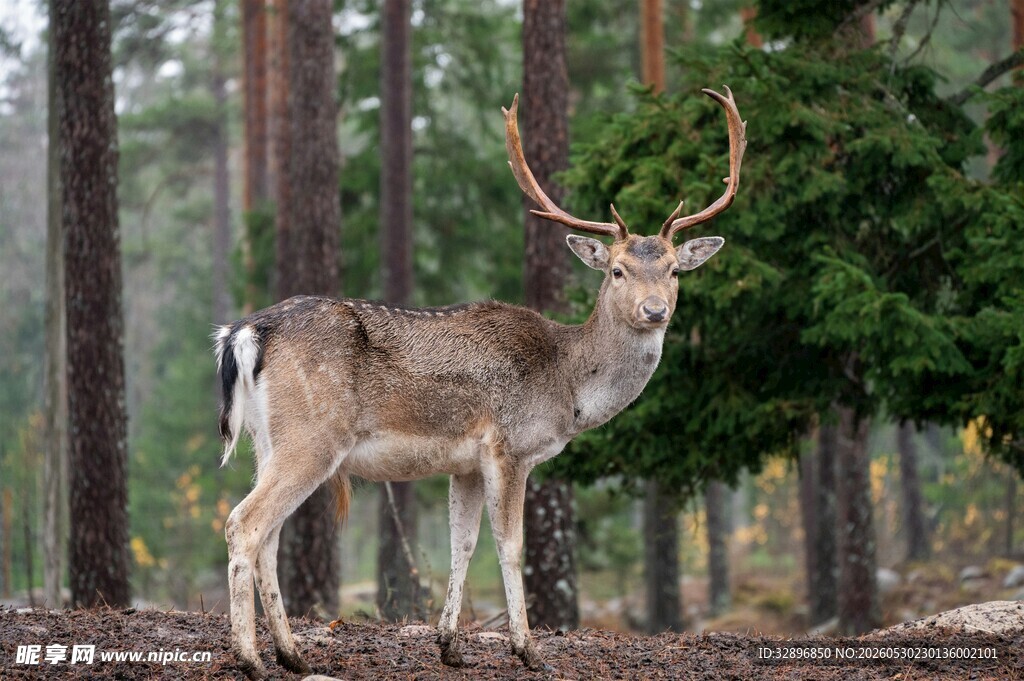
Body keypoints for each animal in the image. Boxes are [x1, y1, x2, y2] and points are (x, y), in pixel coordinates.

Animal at [214, 86, 745, 678]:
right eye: (617, 271)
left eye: (674, 270)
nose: (655, 311)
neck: (566, 386)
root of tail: (243, 332)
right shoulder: (508, 447)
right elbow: (510, 546)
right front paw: (528, 649)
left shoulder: (465, 462)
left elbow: (460, 543)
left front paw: (450, 644)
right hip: (312, 438)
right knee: (243, 523)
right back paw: (251, 658)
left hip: (267, 442)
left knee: (269, 535)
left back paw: (293, 653)